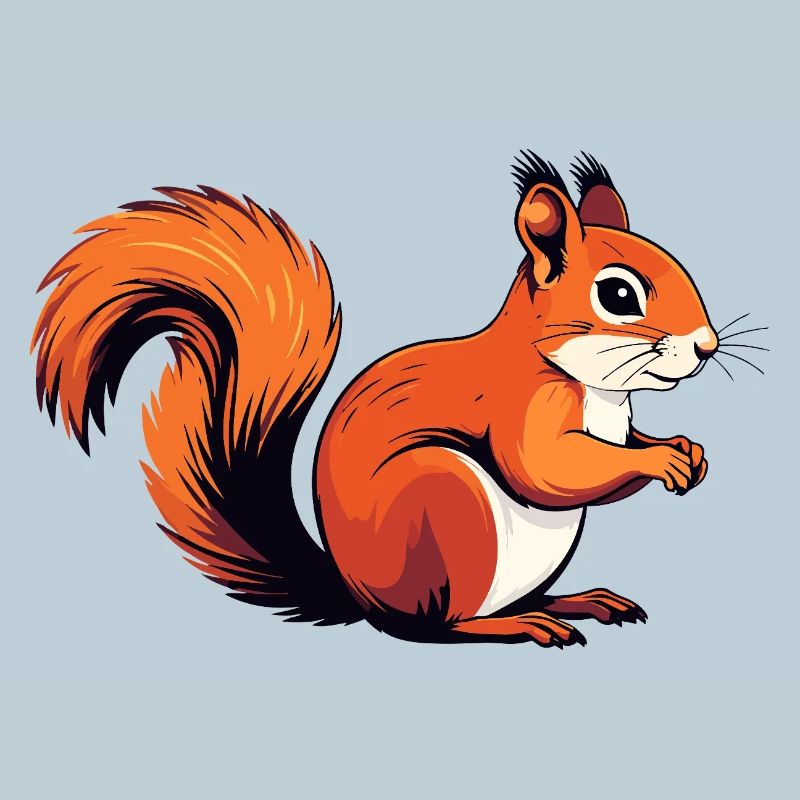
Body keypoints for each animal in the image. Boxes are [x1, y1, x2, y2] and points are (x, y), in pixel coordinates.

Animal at [32, 151, 719, 648]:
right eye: (619, 295)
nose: (707, 347)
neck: (597, 388)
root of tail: (357, 597)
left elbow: (618, 450)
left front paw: (683, 449)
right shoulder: (523, 407)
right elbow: (548, 470)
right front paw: (660, 461)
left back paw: (579, 601)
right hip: (445, 504)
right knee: (435, 627)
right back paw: (517, 624)